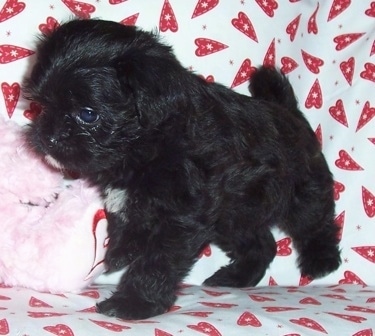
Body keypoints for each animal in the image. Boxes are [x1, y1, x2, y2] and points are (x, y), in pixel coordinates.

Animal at [23, 19, 340, 320]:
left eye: (88, 114)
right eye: (41, 106)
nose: (49, 136)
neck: (149, 143)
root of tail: (289, 112)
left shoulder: (181, 217)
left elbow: (158, 260)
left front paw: (135, 302)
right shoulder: (131, 200)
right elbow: (127, 224)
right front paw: (119, 252)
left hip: (300, 189)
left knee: (315, 220)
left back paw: (321, 261)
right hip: (234, 217)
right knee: (262, 243)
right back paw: (237, 276)